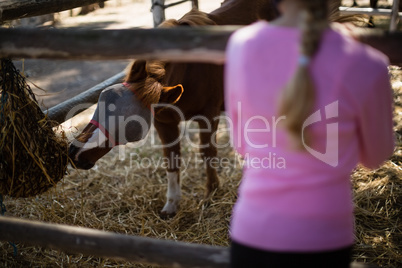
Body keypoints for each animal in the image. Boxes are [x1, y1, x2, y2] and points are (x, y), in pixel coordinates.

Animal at [70, 0, 352, 217]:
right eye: (102, 100)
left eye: (130, 124)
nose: (75, 153)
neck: (188, 70)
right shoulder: (164, 121)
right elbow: (172, 158)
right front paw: (171, 205)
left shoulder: (208, 116)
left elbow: (208, 153)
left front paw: (212, 192)